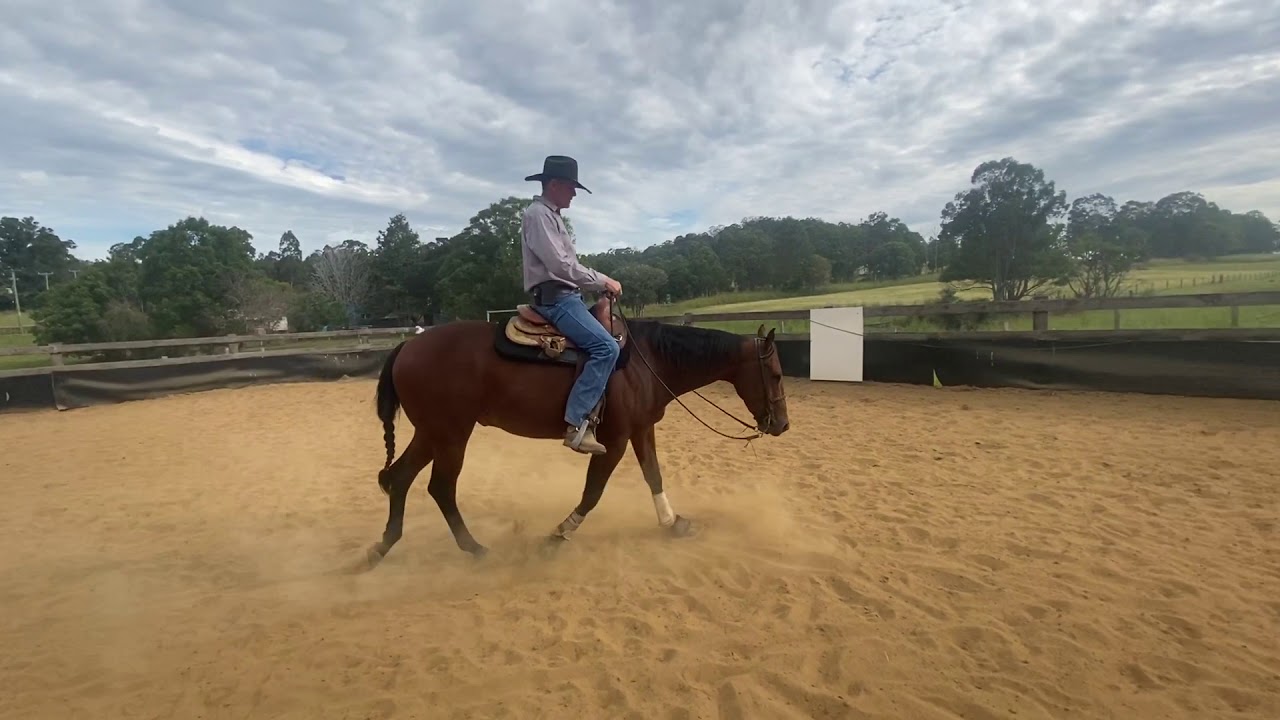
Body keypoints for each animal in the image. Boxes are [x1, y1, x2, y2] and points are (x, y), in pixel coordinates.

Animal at [365, 296, 790, 566]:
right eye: (775, 374)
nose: (782, 424)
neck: (648, 360)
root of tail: (406, 347)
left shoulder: (640, 430)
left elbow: (654, 475)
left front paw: (673, 523)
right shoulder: (613, 441)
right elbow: (593, 491)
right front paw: (557, 534)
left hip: (432, 433)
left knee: (399, 477)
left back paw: (381, 548)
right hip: (452, 435)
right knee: (440, 488)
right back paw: (475, 549)